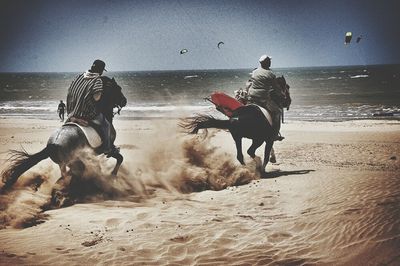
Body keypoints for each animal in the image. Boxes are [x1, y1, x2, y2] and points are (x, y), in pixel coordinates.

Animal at [0, 76, 127, 207]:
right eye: (118, 88)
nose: (124, 101)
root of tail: (53, 144)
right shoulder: (109, 150)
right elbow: (120, 158)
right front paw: (113, 176)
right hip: (76, 163)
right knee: (71, 179)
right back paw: (68, 197)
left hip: (65, 163)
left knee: (66, 177)